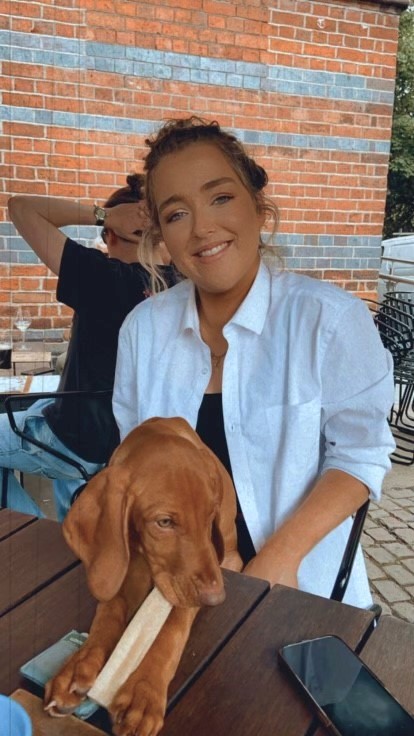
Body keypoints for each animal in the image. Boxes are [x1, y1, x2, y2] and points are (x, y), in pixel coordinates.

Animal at [44, 416, 243, 732]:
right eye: (164, 522)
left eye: (209, 516)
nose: (216, 598)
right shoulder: (113, 567)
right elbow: (107, 614)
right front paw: (77, 666)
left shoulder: (195, 581)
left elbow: (171, 629)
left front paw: (144, 692)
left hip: (231, 553)